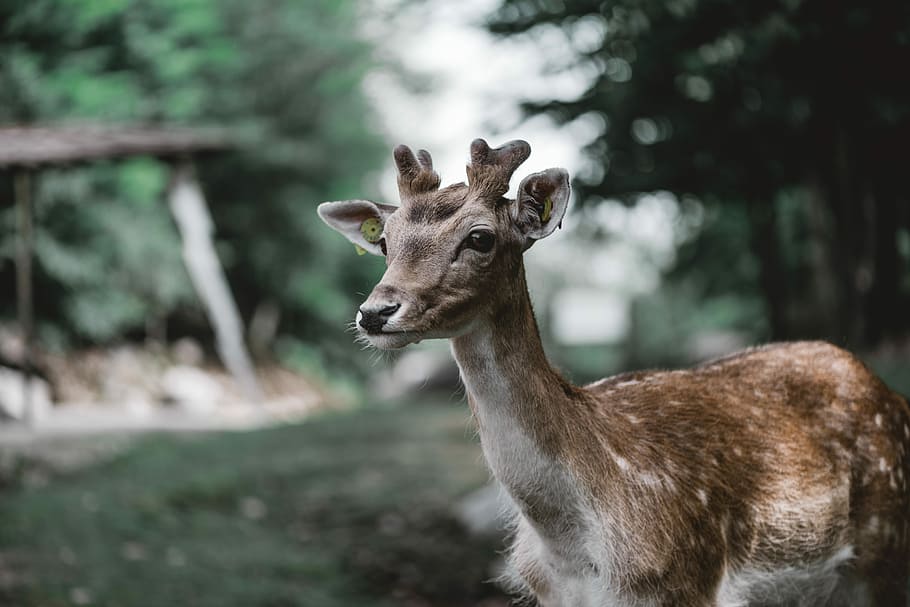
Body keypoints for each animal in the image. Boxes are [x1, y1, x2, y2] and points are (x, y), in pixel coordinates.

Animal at [317, 138, 910, 606]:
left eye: (480, 237)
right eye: (386, 240)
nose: (375, 313)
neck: (575, 546)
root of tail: (892, 395)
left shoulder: (688, 586)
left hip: (885, 555)